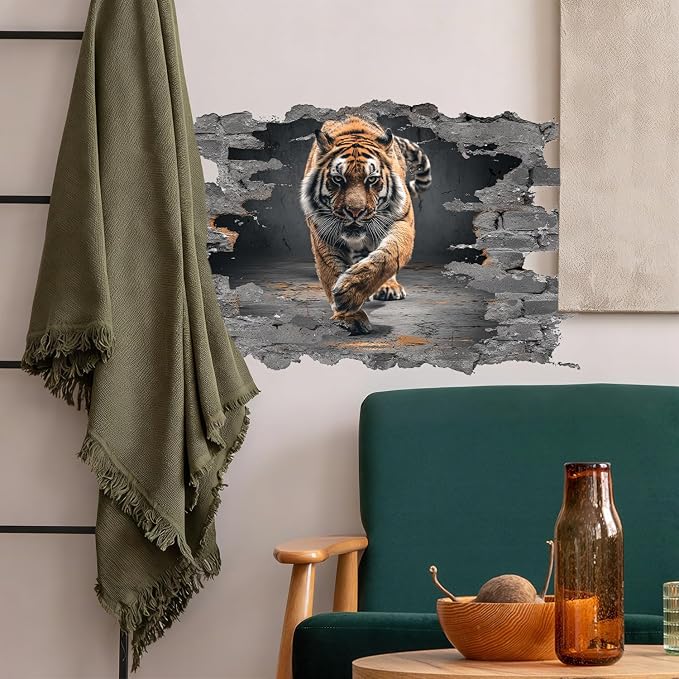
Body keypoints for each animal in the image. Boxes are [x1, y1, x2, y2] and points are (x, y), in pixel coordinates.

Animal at [300, 115, 432, 335]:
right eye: (338, 179)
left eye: (372, 179)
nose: (355, 212)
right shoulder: (323, 234)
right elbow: (332, 270)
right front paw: (348, 315)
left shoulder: (402, 221)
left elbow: (387, 256)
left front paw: (349, 292)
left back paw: (389, 288)